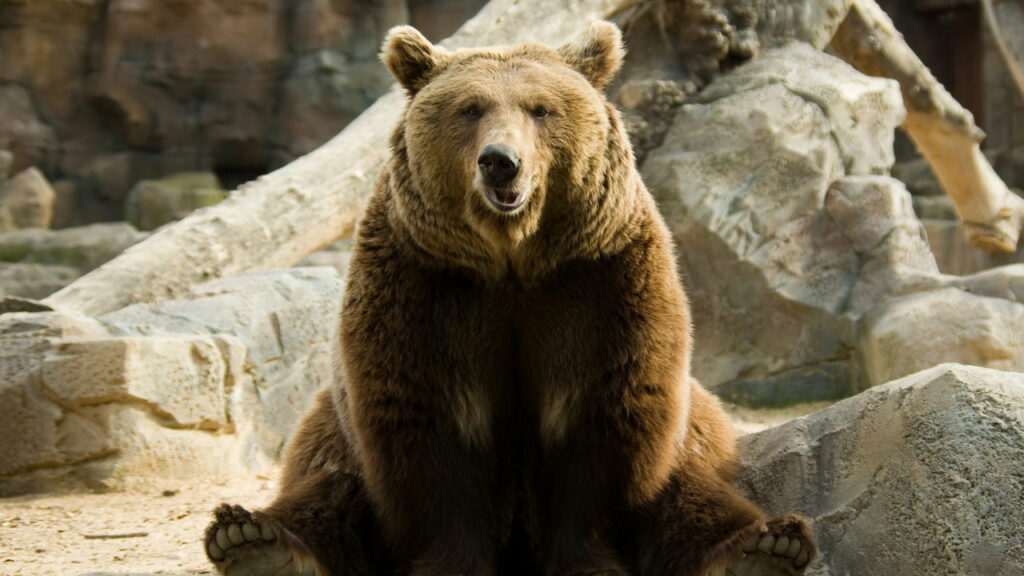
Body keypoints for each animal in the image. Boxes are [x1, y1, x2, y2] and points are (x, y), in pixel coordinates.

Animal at [203, 22, 817, 576]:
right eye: (471, 108)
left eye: (541, 109)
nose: (501, 161)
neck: (513, 258)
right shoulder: (424, 286)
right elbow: (429, 425)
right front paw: (451, 564)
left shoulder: (600, 281)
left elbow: (603, 415)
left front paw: (587, 562)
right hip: (332, 422)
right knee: (328, 484)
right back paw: (255, 540)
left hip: (698, 425)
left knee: (694, 486)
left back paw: (764, 547)